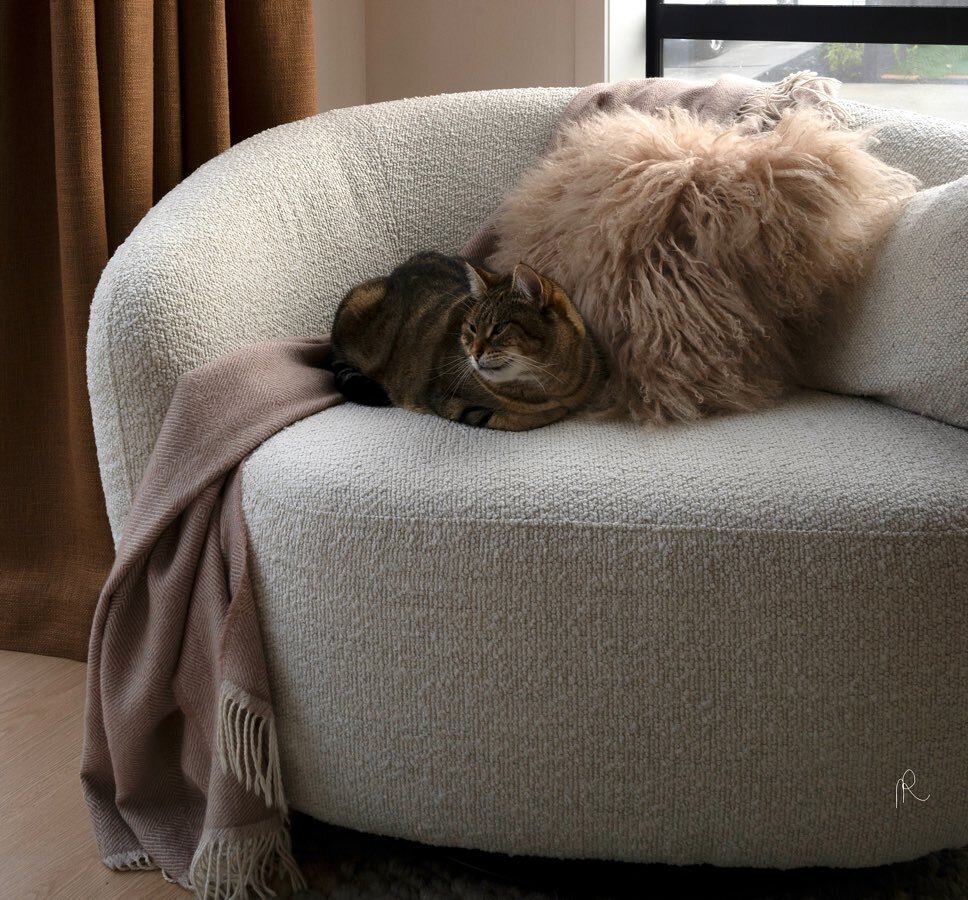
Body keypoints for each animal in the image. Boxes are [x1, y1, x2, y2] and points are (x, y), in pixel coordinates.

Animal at [330, 248, 604, 430]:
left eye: (499, 328)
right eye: (472, 327)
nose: (474, 353)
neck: (550, 383)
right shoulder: (456, 404)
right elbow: (532, 416)